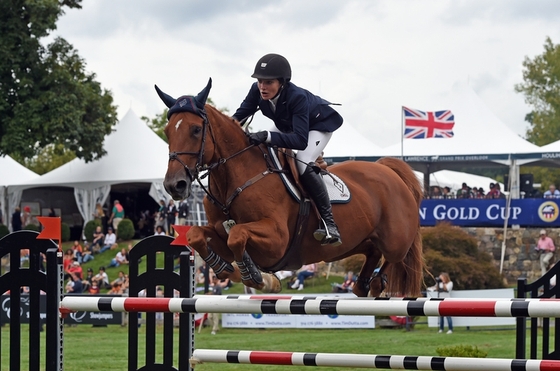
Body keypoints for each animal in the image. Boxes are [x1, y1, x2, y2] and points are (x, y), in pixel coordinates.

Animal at [155, 80, 422, 298]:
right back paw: (362, 284)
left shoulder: (277, 239)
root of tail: (387, 169)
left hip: (395, 240)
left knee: (394, 256)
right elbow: (196, 235)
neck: (234, 179)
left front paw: (257, 277)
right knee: (372, 250)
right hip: (353, 241)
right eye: (167, 131)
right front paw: (225, 269)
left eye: (196, 129)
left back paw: (375, 283)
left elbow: (237, 234)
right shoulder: (219, 231)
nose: (174, 185)